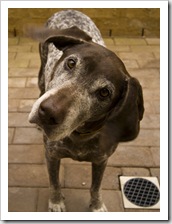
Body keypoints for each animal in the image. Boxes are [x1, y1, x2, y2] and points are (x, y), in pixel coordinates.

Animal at [26, 9, 144, 212]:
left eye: (104, 93)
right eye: (71, 63)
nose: (47, 113)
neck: (78, 135)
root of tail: (68, 10)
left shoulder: (101, 160)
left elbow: (95, 187)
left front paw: (97, 206)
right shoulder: (51, 155)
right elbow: (54, 183)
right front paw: (56, 203)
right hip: (41, 73)